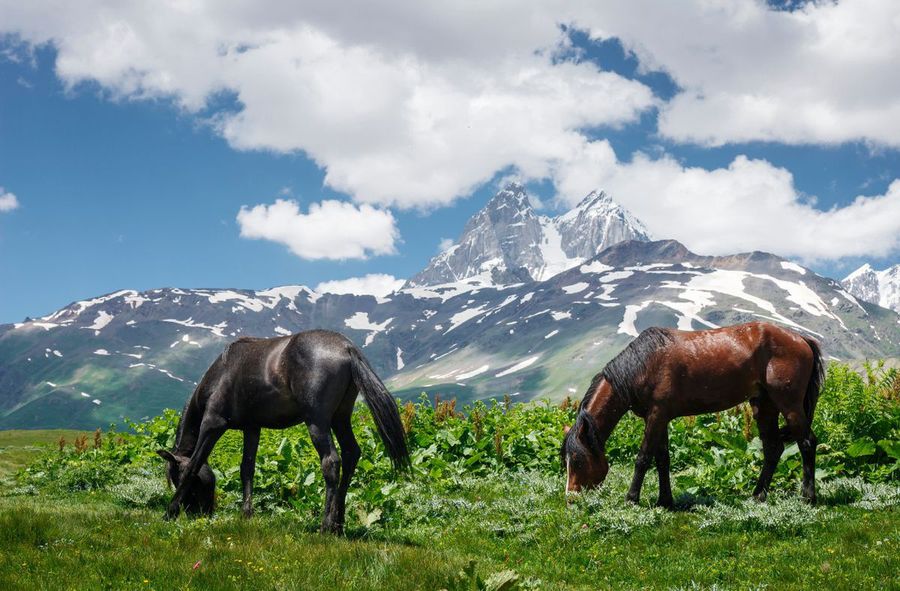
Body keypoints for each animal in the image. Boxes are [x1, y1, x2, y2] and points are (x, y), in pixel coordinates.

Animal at [157, 330, 408, 536]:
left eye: (175, 477)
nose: (200, 514)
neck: (220, 374)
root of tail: (347, 348)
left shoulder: (212, 425)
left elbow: (194, 464)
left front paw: (169, 511)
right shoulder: (252, 428)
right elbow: (247, 468)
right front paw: (246, 514)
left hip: (317, 421)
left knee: (331, 462)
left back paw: (325, 526)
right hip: (340, 418)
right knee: (350, 454)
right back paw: (338, 523)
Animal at [560, 322, 828, 506]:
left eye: (578, 460)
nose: (570, 497)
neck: (643, 365)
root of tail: (801, 339)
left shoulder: (656, 416)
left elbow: (643, 458)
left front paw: (632, 498)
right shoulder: (659, 418)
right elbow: (662, 459)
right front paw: (665, 501)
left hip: (789, 404)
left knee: (807, 442)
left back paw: (808, 497)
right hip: (764, 406)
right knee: (773, 449)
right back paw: (758, 495)